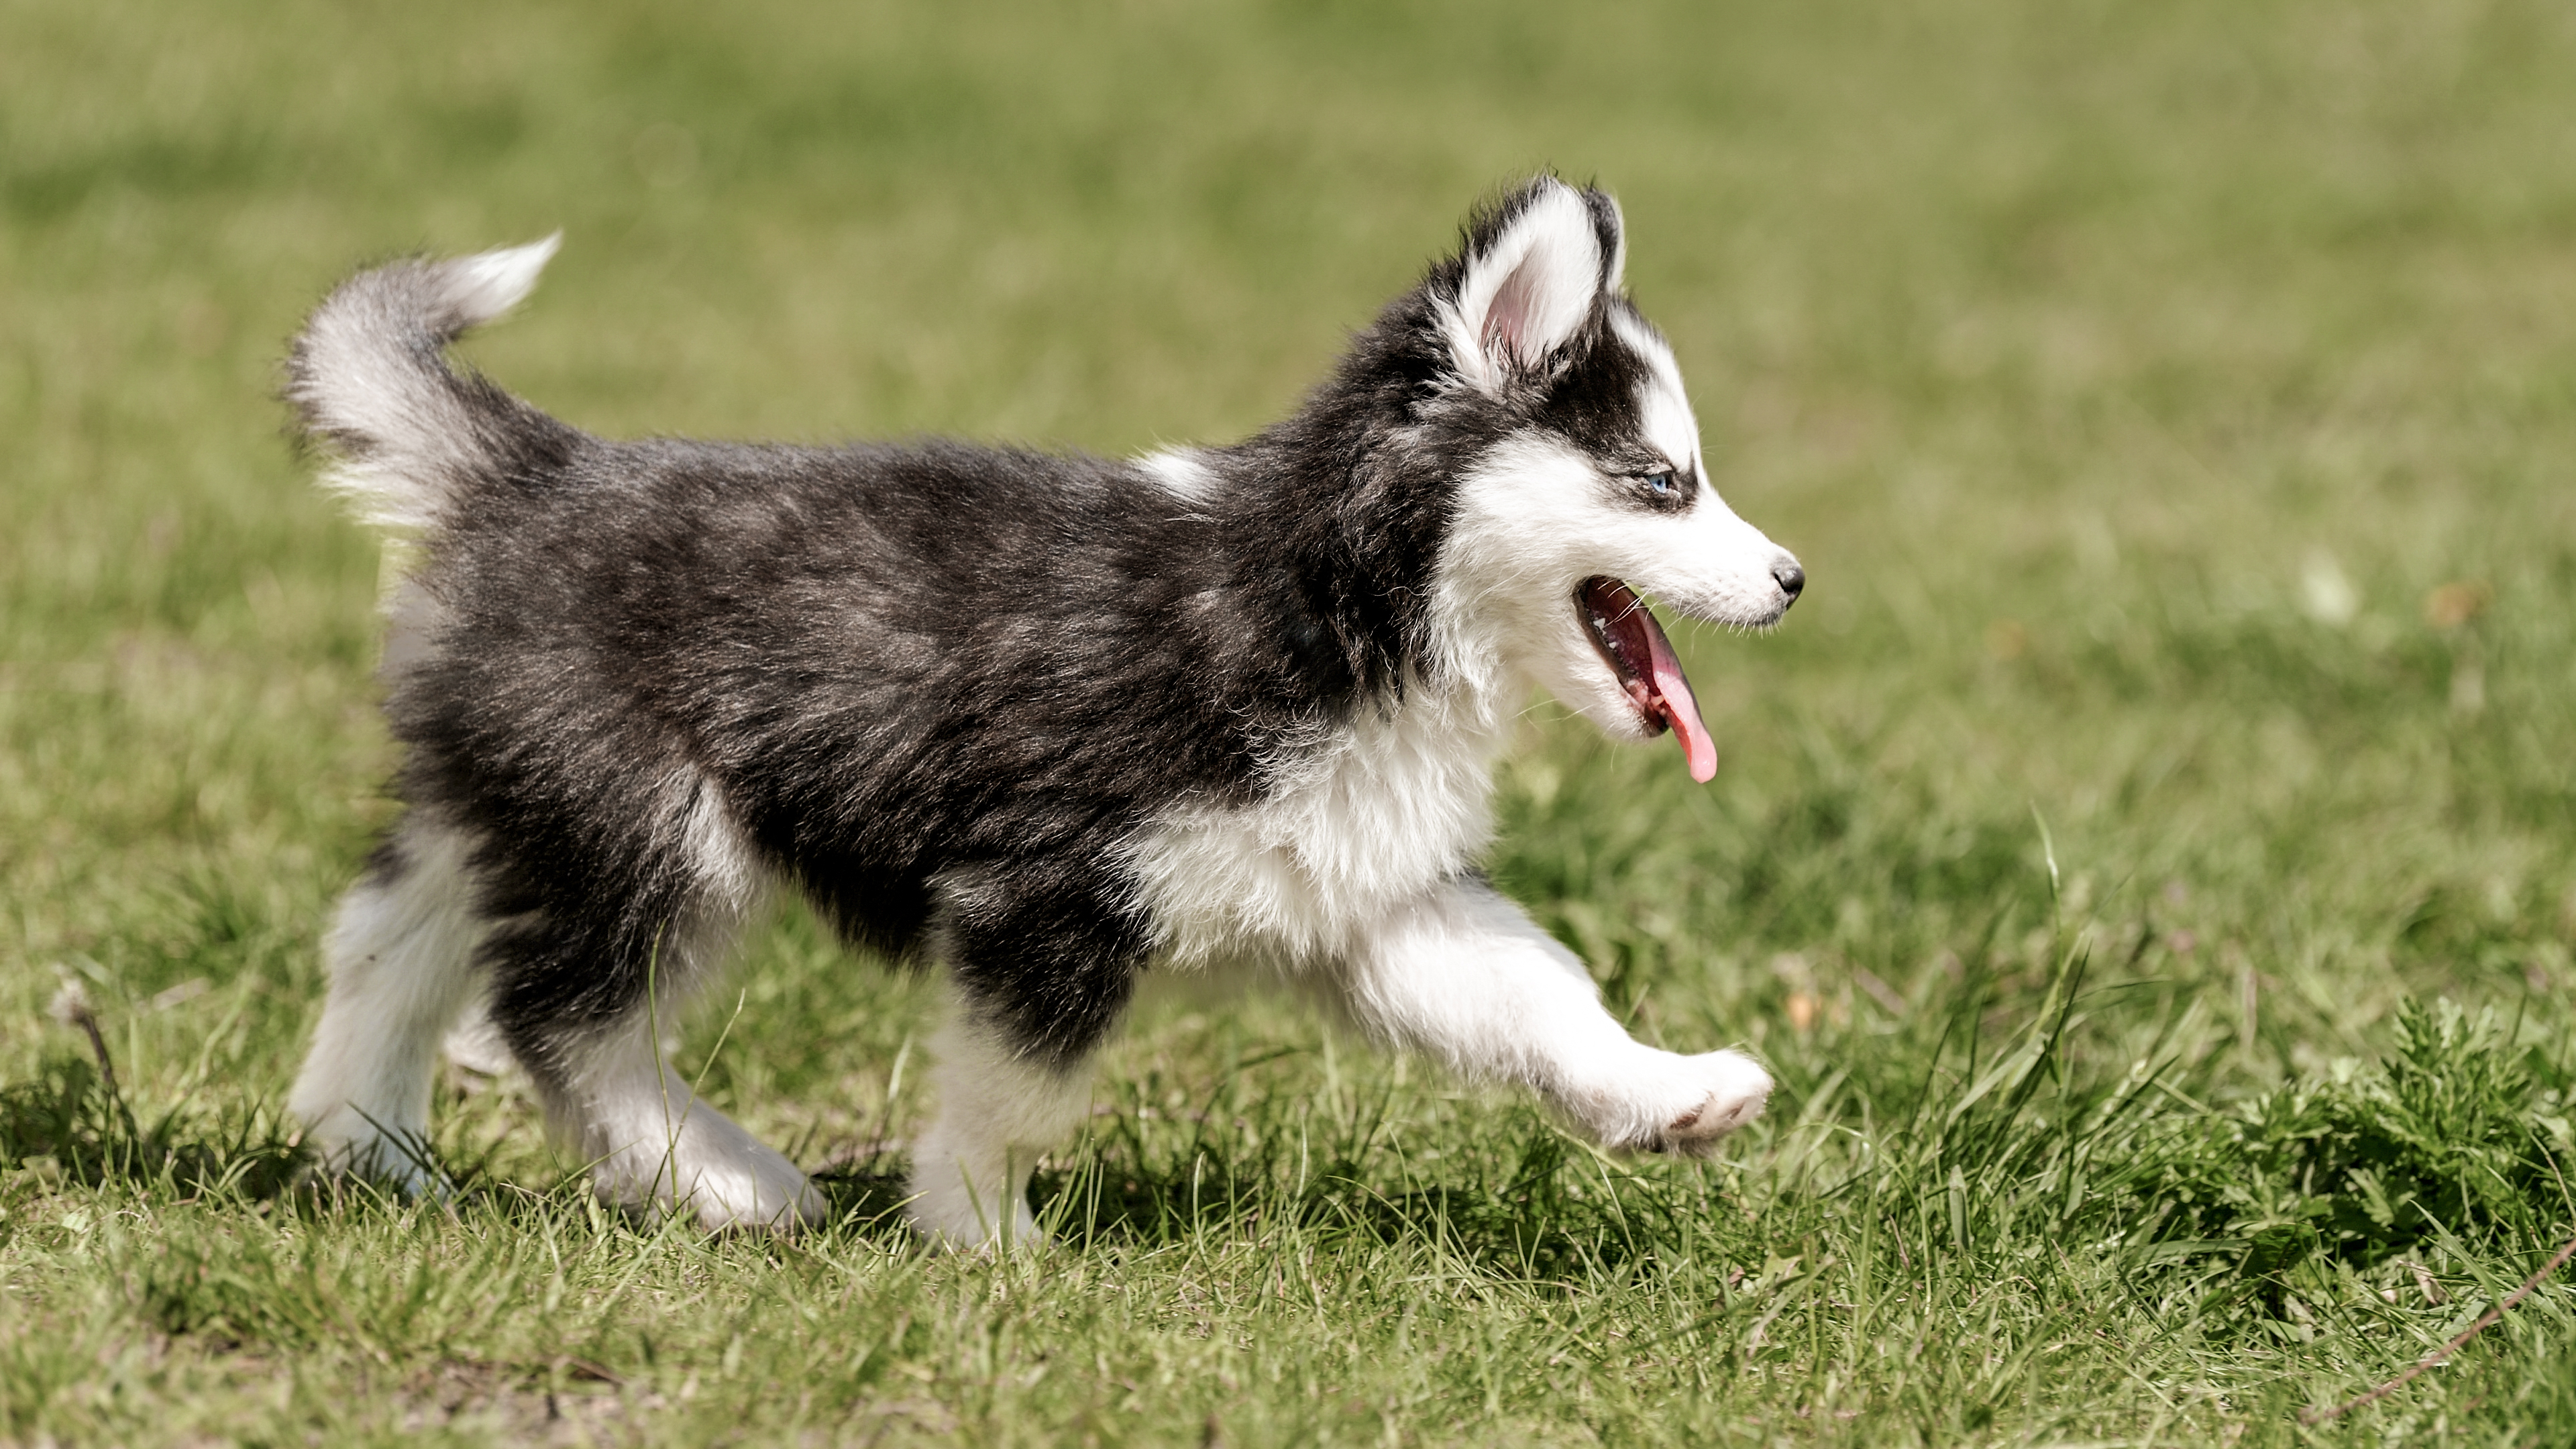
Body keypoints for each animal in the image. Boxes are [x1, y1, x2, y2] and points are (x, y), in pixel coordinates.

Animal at [282, 178, 1803, 1242]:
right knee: (556, 1015)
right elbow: (1018, 1096)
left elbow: (1538, 993)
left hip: (510, 799)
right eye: (1664, 483)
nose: (1795, 579)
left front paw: (1669, 1094)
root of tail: (539, 469)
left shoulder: (1367, 892)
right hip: (651, 824)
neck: (1338, 610)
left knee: (387, 942)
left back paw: (367, 1151)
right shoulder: (1048, 896)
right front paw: (986, 1241)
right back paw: (726, 1182)